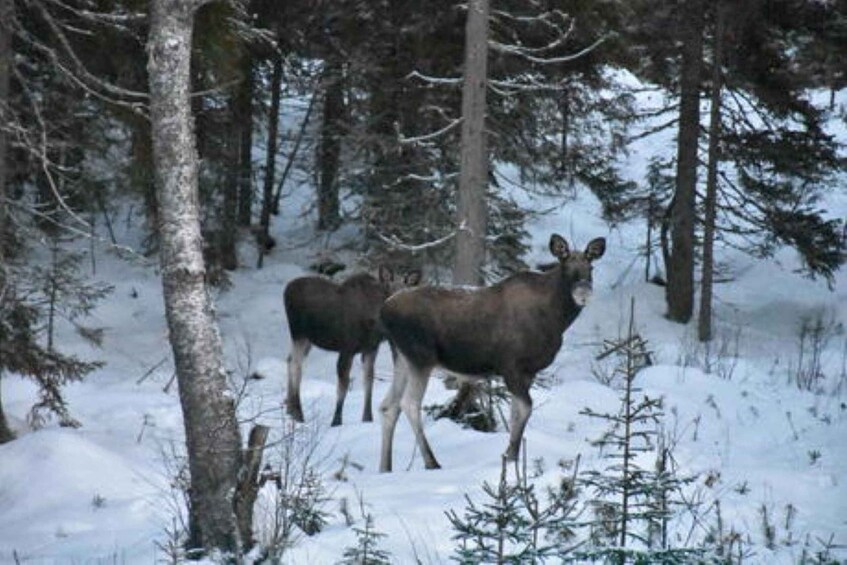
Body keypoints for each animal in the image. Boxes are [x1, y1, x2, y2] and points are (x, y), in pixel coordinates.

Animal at [284, 266, 420, 426]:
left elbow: (368, 382)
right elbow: (343, 385)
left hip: (308, 340)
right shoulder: (347, 348)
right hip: (299, 333)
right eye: (389, 290)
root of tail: (287, 289)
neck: (374, 324)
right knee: (296, 365)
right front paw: (336, 421)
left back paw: (289, 409)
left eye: (406, 292)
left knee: (289, 360)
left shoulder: (370, 349)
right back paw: (298, 413)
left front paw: (367, 418)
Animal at [380, 234, 608, 472]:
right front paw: (511, 457)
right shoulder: (511, 366)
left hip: (402, 357)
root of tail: (384, 310)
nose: (584, 293)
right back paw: (431, 462)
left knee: (388, 406)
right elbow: (525, 408)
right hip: (421, 357)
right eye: (566, 267)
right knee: (409, 403)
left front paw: (511, 457)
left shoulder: (528, 372)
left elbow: (515, 413)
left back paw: (385, 467)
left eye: (590, 267)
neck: (556, 319)